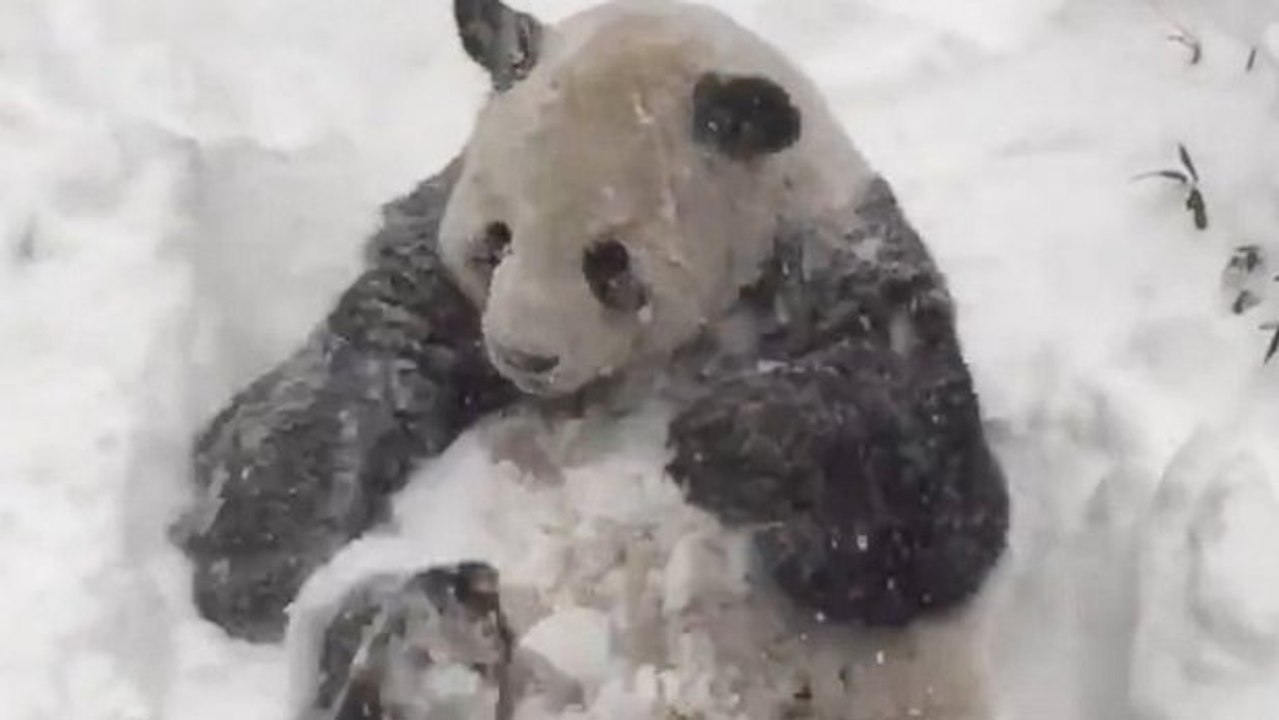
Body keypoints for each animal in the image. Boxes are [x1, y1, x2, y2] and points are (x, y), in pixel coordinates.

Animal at [172, 0, 1011, 717]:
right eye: (496, 239)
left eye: (609, 261)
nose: (523, 354)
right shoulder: (441, 287)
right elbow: (348, 368)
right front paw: (249, 561)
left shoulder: (849, 270)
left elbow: (925, 519)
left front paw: (736, 443)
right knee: (365, 610)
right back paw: (427, 651)